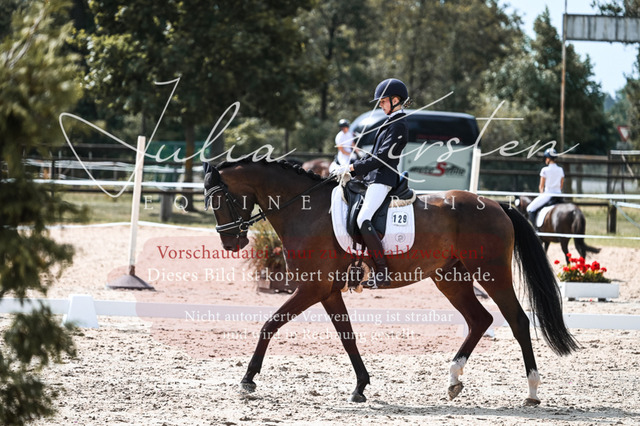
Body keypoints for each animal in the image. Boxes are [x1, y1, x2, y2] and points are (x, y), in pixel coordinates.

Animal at [203, 158, 578, 406]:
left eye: (219, 199)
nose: (231, 243)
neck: (306, 210)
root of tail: (497, 205)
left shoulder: (312, 287)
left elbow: (270, 324)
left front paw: (247, 380)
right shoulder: (327, 291)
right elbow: (347, 336)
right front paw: (361, 386)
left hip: (492, 272)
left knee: (517, 320)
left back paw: (532, 392)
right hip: (451, 278)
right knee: (479, 319)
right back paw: (453, 380)